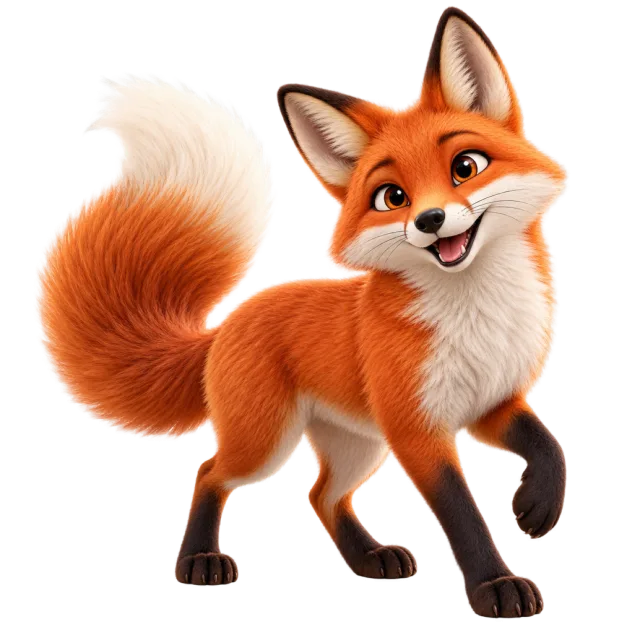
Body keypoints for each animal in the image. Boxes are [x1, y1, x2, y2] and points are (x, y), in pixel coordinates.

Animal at [33, 6, 568, 617]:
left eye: (466, 166)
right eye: (392, 197)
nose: (430, 220)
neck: (476, 314)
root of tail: (229, 321)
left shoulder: (490, 401)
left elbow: (547, 444)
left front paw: (538, 504)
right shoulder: (416, 428)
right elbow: (463, 514)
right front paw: (494, 586)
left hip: (358, 442)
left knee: (321, 494)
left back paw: (369, 559)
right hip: (268, 440)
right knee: (210, 473)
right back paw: (200, 562)